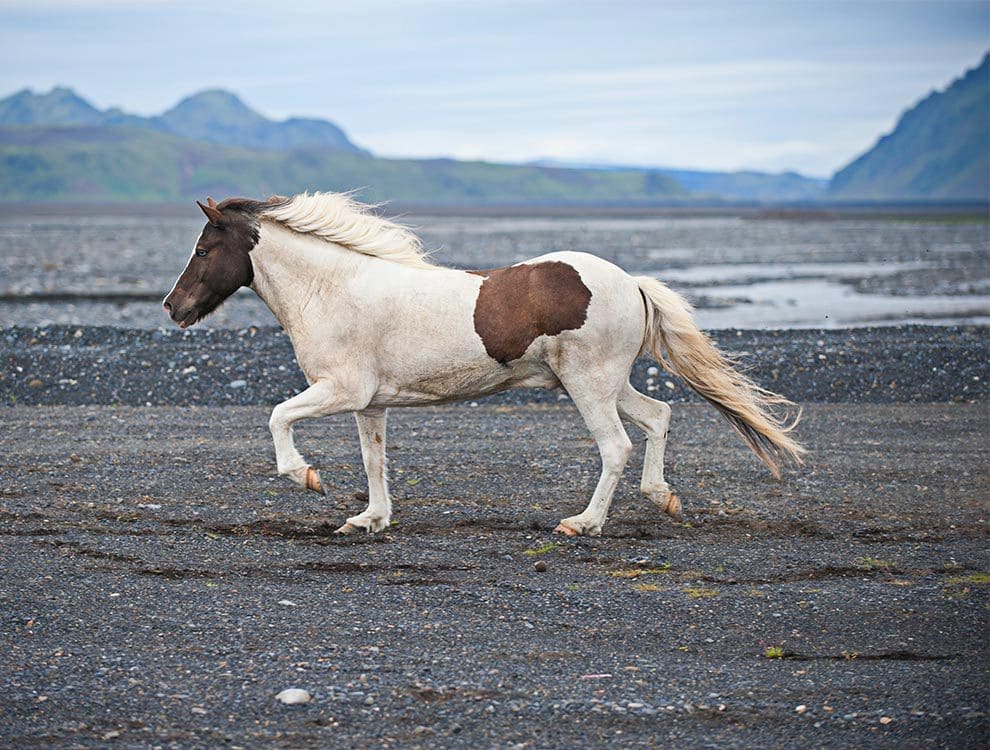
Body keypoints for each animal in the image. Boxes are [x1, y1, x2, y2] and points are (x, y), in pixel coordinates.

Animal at [165, 191, 808, 536]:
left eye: (203, 248)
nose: (174, 307)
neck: (333, 288)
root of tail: (632, 283)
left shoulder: (339, 390)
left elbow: (277, 417)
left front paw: (305, 476)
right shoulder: (369, 404)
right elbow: (375, 462)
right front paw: (369, 520)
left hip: (588, 384)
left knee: (617, 446)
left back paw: (583, 523)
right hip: (607, 382)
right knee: (657, 416)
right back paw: (662, 497)